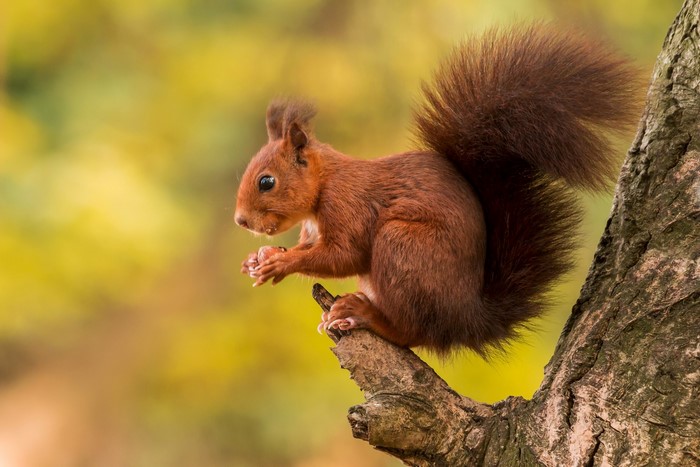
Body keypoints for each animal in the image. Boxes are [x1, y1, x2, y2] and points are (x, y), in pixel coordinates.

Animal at [234, 24, 639, 355]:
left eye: (266, 181)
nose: (240, 221)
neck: (324, 184)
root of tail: (465, 319)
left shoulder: (348, 206)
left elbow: (343, 256)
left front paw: (280, 263)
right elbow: (310, 248)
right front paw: (260, 257)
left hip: (404, 246)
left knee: (412, 332)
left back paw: (364, 313)